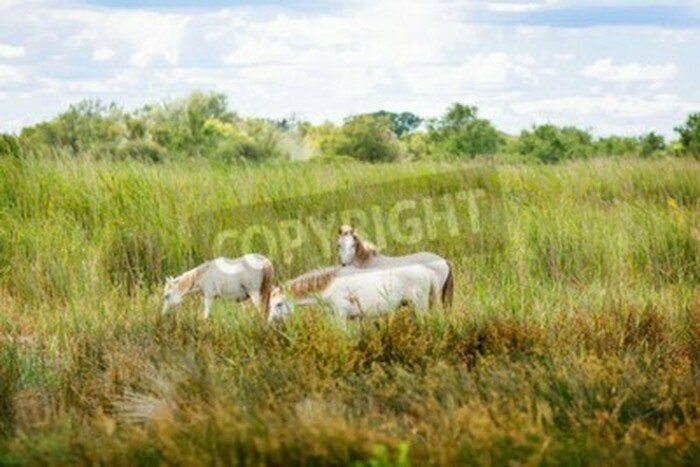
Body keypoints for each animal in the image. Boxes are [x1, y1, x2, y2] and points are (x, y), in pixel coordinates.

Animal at [267, 262, 439, 322]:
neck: (330, 288)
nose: (270, 323)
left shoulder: (341, 316)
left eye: (279, 304)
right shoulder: (354, 318)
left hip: (420, 306)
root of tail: (427, 271)